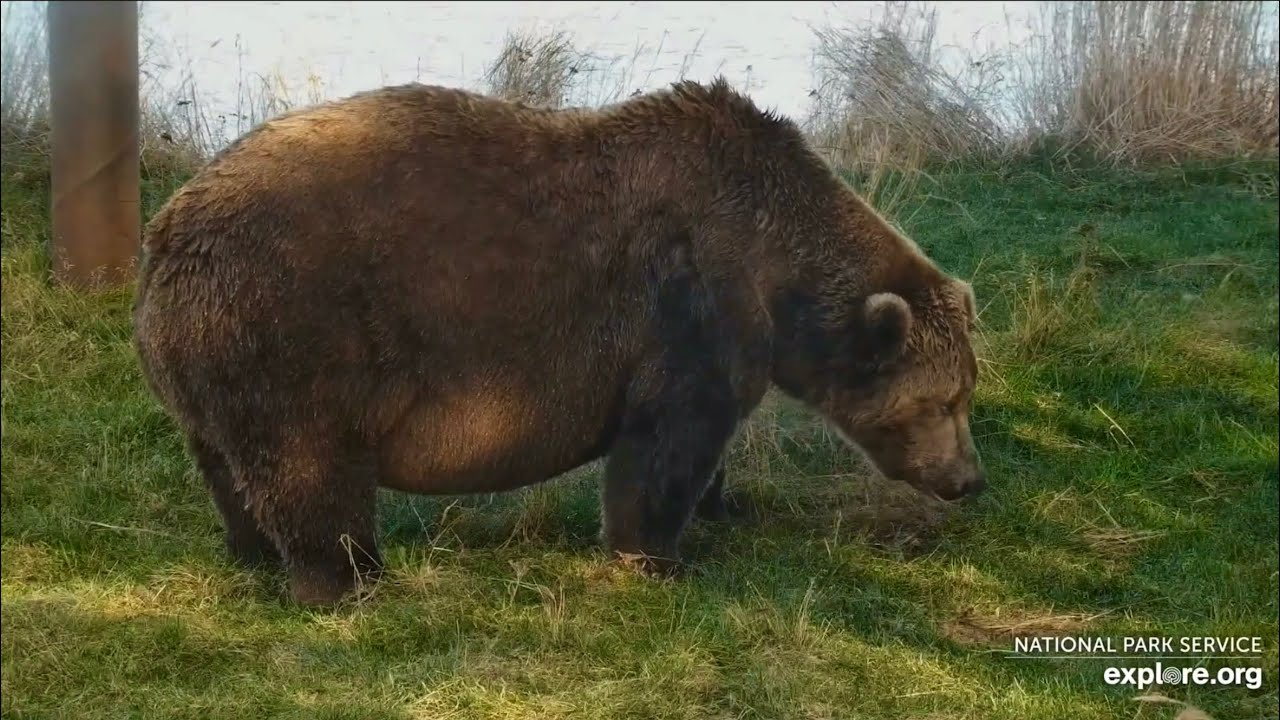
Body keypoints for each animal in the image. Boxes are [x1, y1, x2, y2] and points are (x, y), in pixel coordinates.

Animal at [132, 77, 986, 607]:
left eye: (966, 392)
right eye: (942, 401)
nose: (969, 480)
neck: (777, 264)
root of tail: (165, 234)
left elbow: (704, 446)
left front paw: (722, 506)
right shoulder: (692, 304)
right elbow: (666, 442)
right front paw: (658, 558)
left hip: (204, 359)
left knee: (226, 462)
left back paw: (251, 549)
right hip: (293, 327)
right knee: (309, 465)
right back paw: (350, 580)